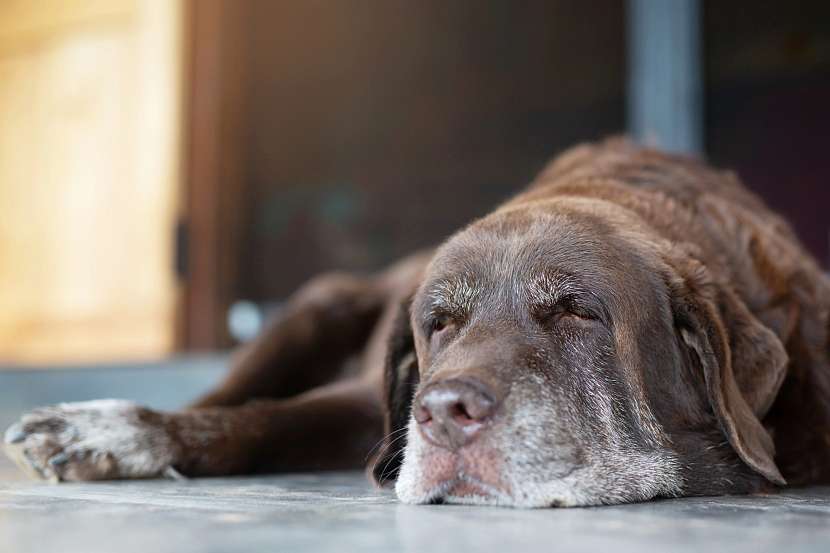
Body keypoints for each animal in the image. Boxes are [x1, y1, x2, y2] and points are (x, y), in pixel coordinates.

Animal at [3, 138, 828, 504]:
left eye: (578, 312)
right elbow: (260, 418)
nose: (442, 411)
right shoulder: (372, 409)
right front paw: (115, 433)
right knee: (225, 395)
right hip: (315, 305)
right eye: (439, 323)